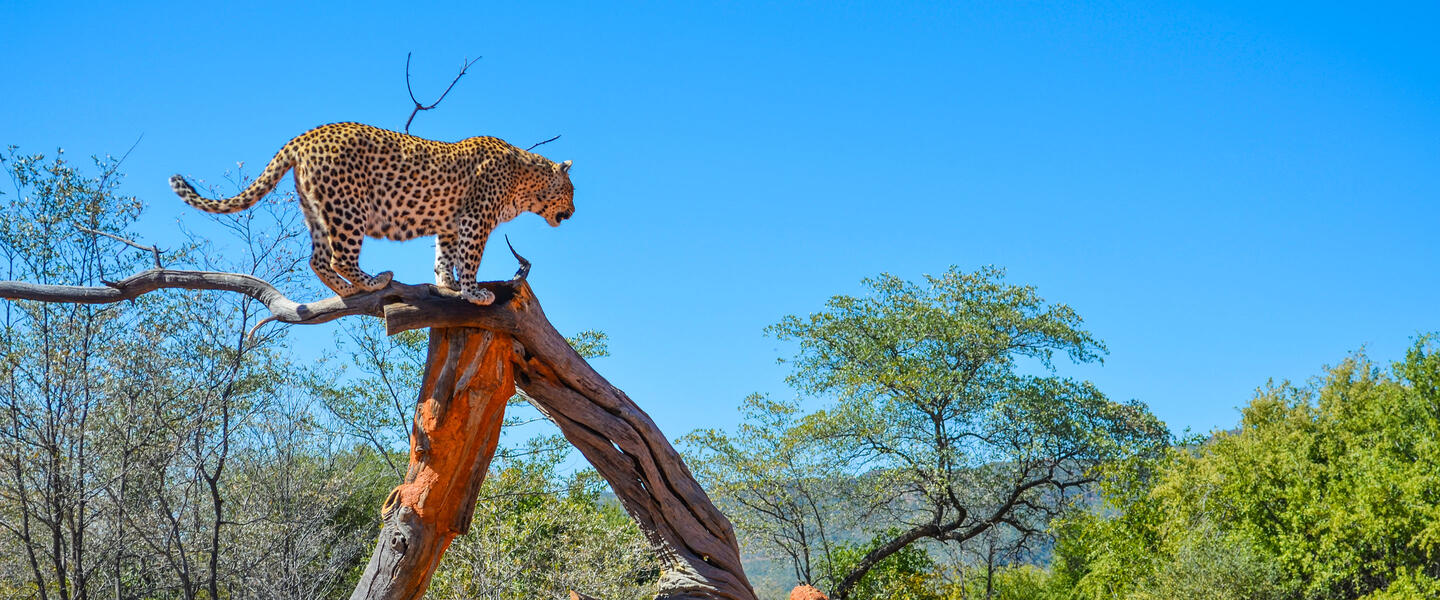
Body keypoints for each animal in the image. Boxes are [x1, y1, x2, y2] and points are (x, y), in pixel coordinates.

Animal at [169, 123, 573, 306]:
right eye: (570, 192)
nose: (572, 211)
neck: (525, 181)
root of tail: (305, 137)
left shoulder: (451, 223)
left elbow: (445, 256)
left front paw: (448, 284)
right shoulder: (476, 219)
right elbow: (470, 258)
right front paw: (474, 292)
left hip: (317, 209)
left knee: (317, 258)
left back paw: (350, 290)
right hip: (349, 208)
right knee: (340, 257)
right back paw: (374, 282)